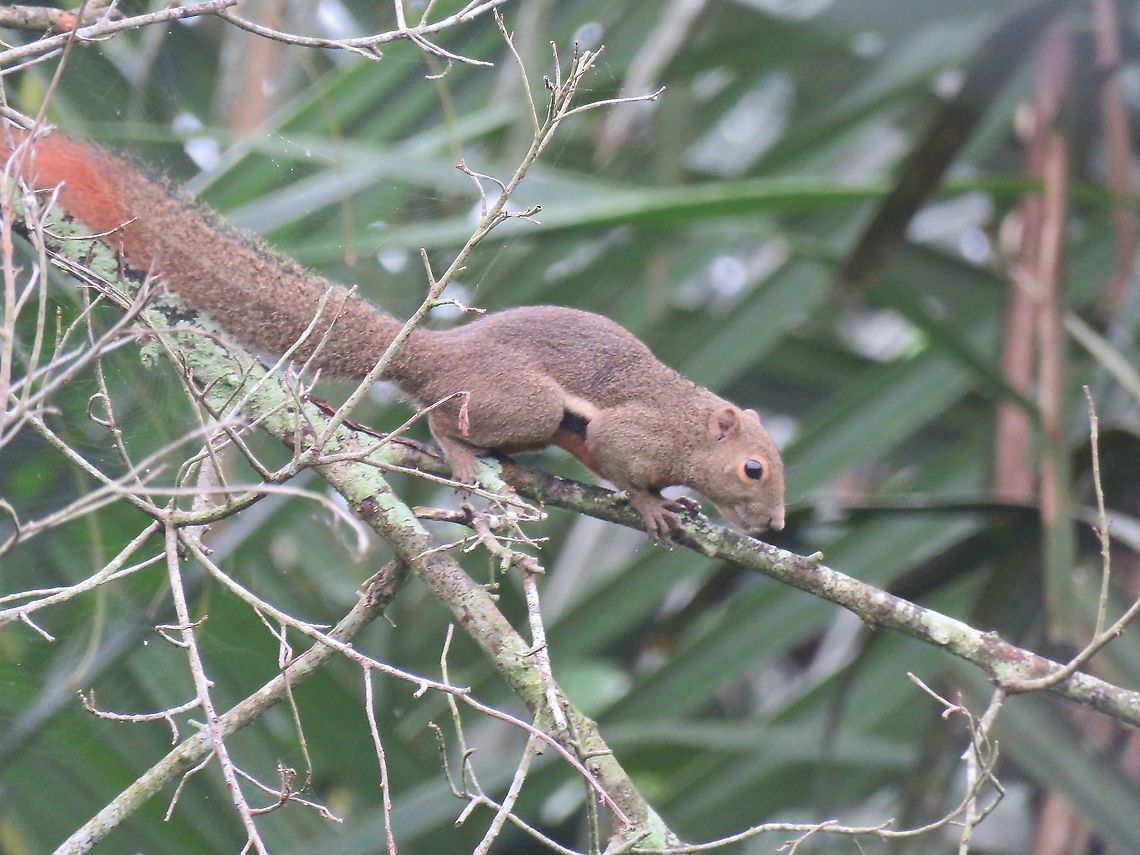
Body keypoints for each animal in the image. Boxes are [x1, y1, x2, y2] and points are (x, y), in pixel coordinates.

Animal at [1, 129, 786, 539]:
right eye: (753, 468)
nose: (777, 526)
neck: (687, 428)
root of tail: (430, 350)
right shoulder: (636, 430)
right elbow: (622, 461)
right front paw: (655, 505)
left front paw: (677, 500)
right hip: (520, 400)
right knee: (442, 415)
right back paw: (460, 452)